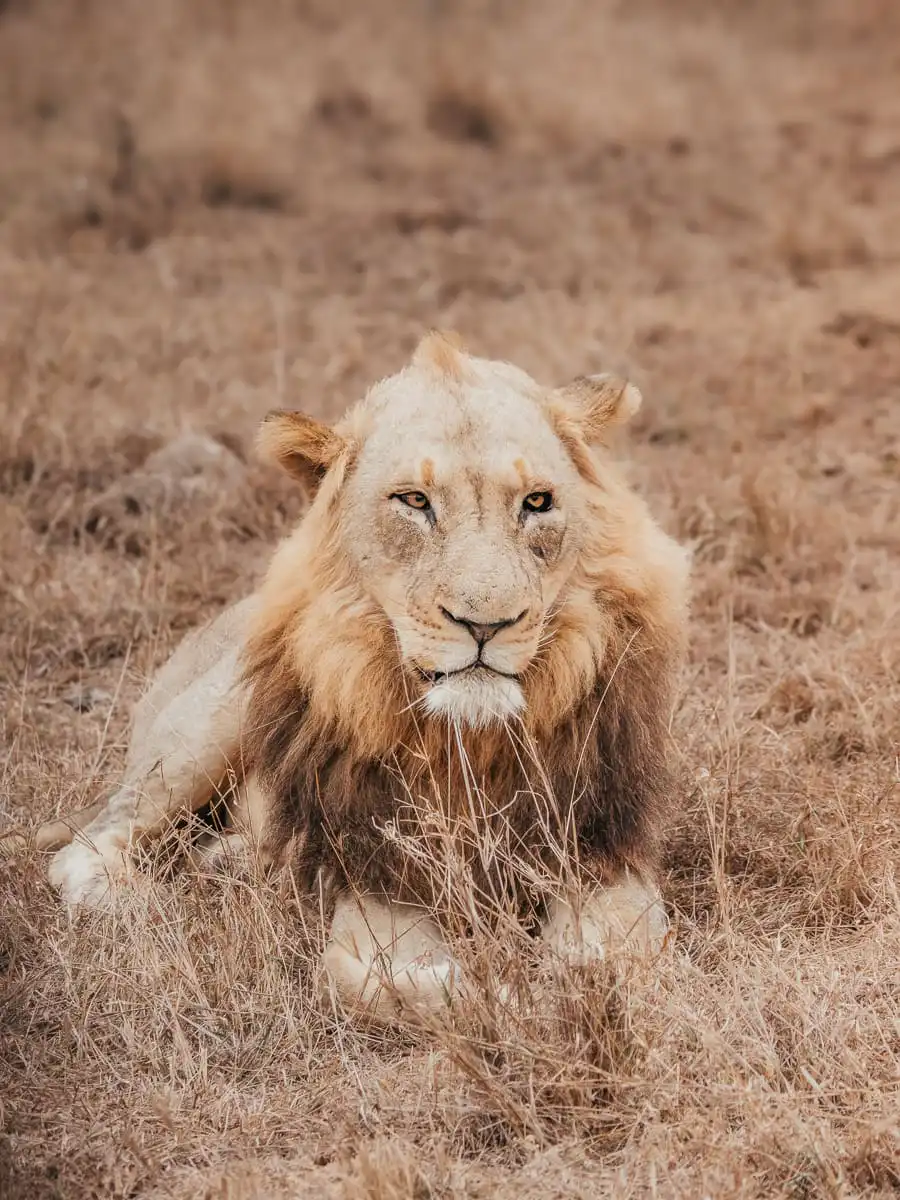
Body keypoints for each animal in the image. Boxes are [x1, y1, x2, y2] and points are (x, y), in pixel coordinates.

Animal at [15, 332, 690, 1023]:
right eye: (414, 501)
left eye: (537, 502)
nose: (486, 623)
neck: (468, 746)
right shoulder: (376, 884)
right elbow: (380, 979)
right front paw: (509, 998)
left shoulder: (603, 858)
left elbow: (613, 965)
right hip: (201, 735)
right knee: (89, 846)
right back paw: (153, 905)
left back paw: (234, 864)